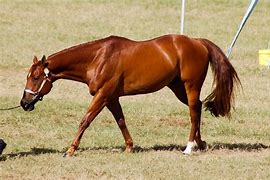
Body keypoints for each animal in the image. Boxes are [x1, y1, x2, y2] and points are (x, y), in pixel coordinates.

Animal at [21, 34, 240, 156]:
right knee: (198, 108)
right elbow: (121, 121)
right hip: (177, 88)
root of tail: (197, 42)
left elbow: (85, 120)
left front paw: (70, 150)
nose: (24, 103)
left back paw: (189, 147)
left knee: (194, 112)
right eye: (28, 76)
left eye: (36, 77)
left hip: (190, 87)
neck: (98, 58)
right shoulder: (111, 98)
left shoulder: (102, 96)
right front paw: (129, 147)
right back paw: (200, 142)